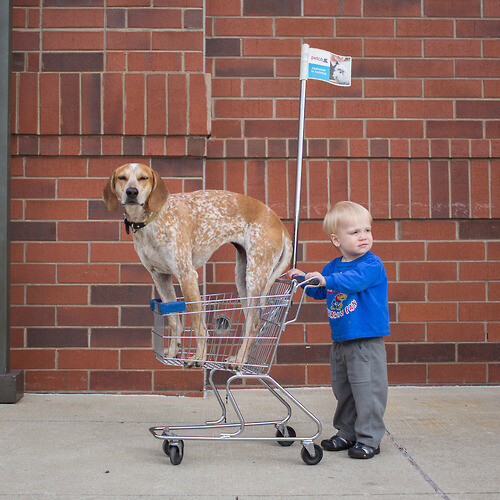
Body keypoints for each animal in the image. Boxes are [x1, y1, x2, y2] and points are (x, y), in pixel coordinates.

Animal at [103, 163, 292, 368]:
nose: (131, 192)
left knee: (254, 324)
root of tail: (280, 223)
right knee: (251, 320)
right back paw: (239, 359)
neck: (152, 219)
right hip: (242, 278)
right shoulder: (160, 277)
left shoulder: (187, 275)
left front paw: (199, 358)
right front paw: (173, 351)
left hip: (255, 277)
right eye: (122, 177)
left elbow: (198, 325)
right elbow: (174, 321)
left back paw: (240, 361)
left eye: (143, 178)